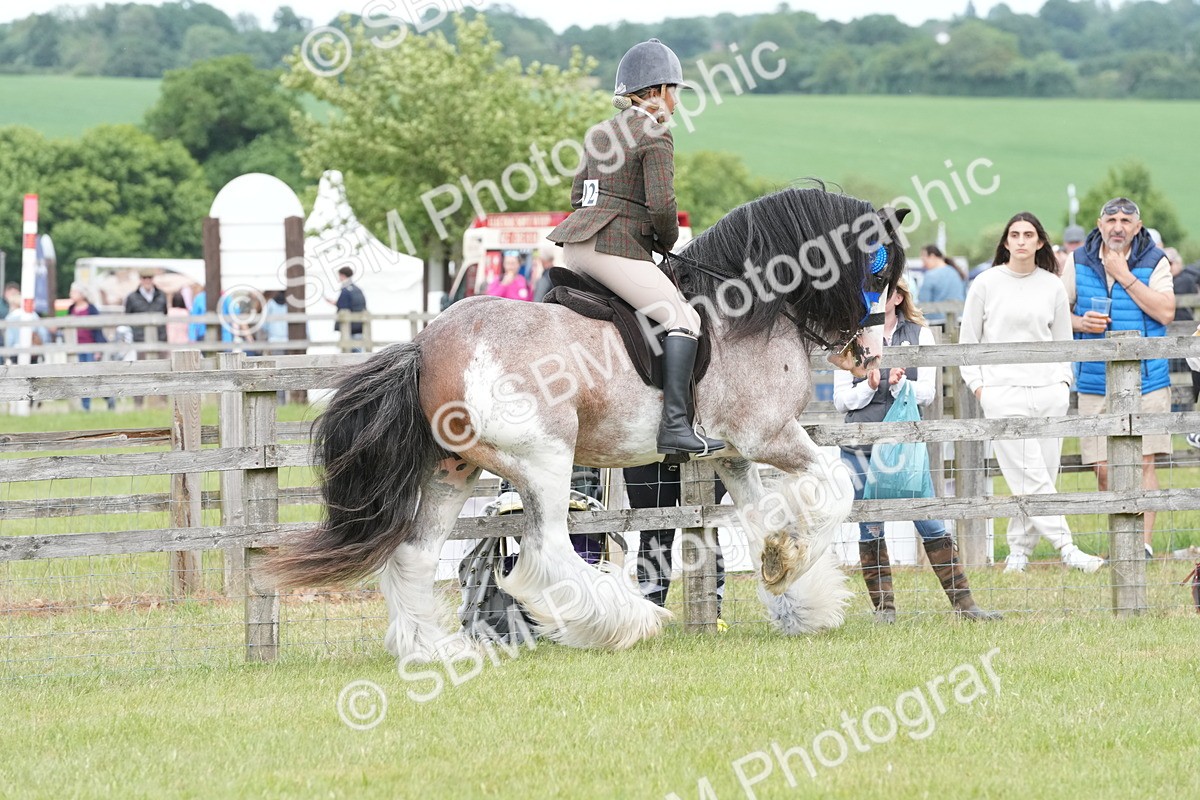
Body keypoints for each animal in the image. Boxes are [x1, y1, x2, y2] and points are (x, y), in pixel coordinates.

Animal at [269, 187, 908, 661]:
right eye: (878, 272)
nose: (869, 357)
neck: (746, 308)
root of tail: (427, 345)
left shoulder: (731, 454)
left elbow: (762, 520)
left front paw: (789, 586)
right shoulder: (768, 436)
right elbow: (837, 489)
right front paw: (795, 565)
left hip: (452, 471)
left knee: (416, 556)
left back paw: (434, 651)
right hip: (544, 460)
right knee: (546, 550)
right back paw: (624, 621)